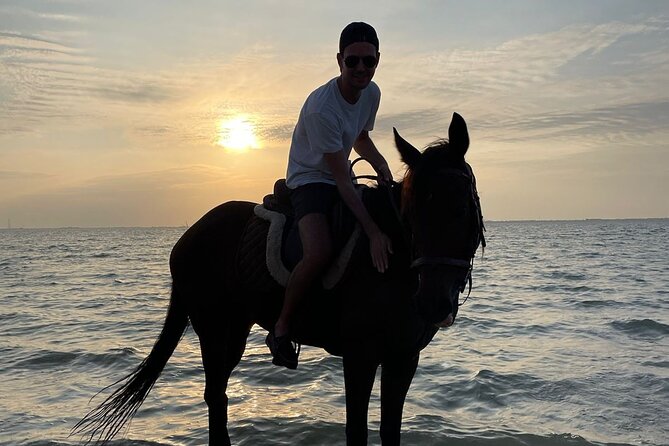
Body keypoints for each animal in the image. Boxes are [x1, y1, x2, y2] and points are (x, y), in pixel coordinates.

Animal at [72, 112, 485, 445]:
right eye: (412, 211)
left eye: (463, 206)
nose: (433, 303)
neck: (392, 264)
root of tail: (186, 239)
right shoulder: (360, 356)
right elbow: (356, 430)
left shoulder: (404, 358)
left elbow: (390, 430)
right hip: (211, 326)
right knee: (215, 394)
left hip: (235, 329)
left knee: (218, 394)